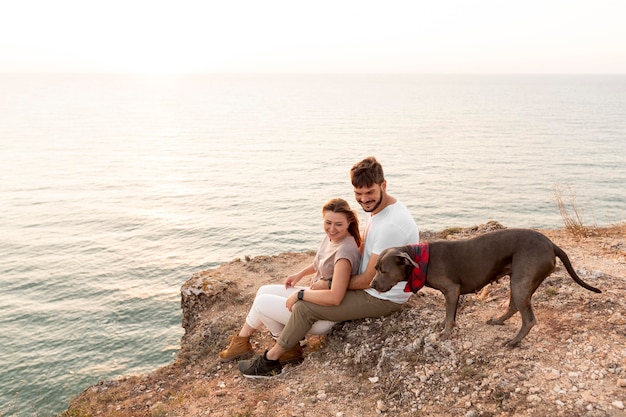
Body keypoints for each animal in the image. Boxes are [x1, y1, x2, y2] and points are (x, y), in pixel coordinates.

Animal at [370, 228, 600, 344]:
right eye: (376, 268)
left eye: (383, 270)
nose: (371, 284)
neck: (420, 259)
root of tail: (551, 244)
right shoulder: (453, 294)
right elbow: (450, 315)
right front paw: (445, 326)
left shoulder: (452, 290)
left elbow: (449, 316)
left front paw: (445, 334)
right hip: (519, 281)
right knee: (514, 306)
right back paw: (498, 320)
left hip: (521, 282)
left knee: (529, 319)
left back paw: (514, 341)